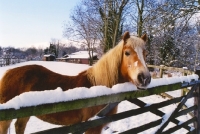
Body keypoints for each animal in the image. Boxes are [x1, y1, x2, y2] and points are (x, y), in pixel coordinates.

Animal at [0, 31, 151, 134]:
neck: (99, 88)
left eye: (146, 54)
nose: (144, 78)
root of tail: (9, 73)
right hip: (5, 120)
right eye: (127, 53)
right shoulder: (92, 127)